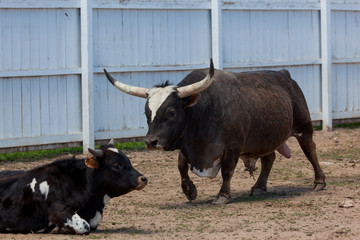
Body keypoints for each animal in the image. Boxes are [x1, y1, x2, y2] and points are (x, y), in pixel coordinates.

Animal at [104, 59, 326, 203]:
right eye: (147, 112)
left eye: (171, 112)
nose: (151, 142)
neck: (202, 110)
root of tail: (283, 74)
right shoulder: (188, 146)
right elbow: (181, 166)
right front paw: (189, 191)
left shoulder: (233, 147)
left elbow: (227, 171)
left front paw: (222, 195)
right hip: (263, 139)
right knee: (269, 158)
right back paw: (259, 186)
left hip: (304, 127)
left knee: (311, 151)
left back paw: (319, 181)